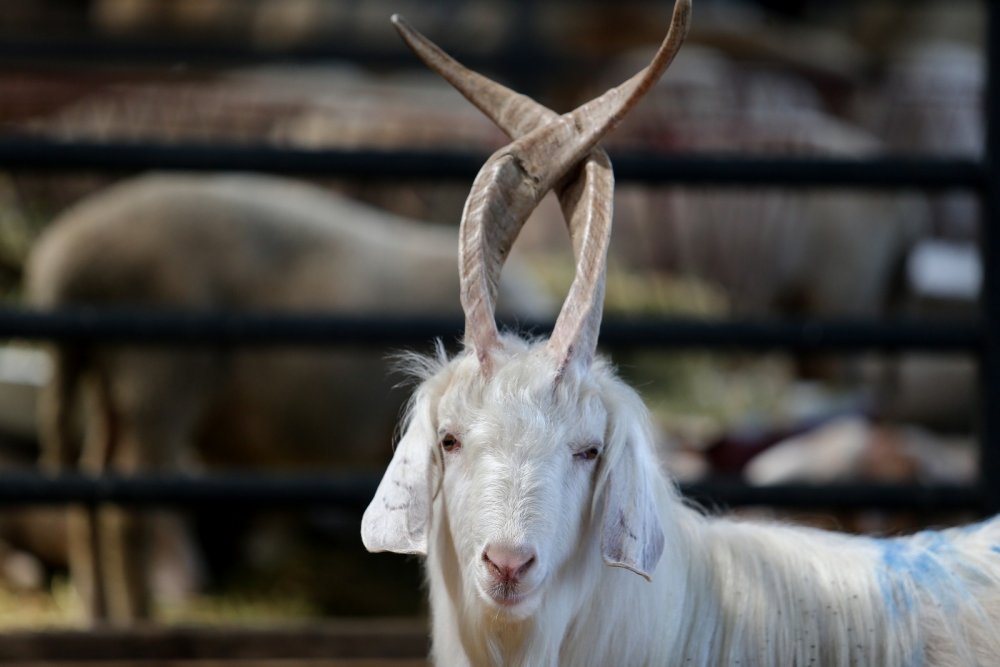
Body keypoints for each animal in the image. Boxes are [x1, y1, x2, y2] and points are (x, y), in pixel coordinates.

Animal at [23, 174, 552, 628]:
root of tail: (67, 266)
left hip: (110, 383)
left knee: (91, 485)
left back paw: (96, 613)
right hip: (159, 375)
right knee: (128, 508)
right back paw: (139, 619)